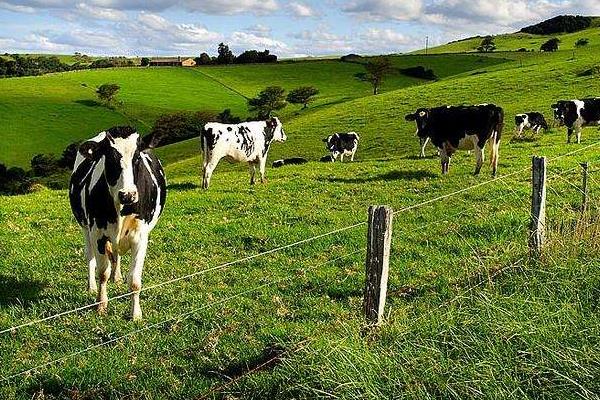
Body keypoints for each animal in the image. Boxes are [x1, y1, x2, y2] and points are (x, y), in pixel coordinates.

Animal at [68, 126, 166, 320]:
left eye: (137, 157)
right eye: (110, 158)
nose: (128, 195)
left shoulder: (140, 236)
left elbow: (134, 280)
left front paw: (135, 314)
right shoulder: (98, 234)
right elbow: (102, 272)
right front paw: (101, 305)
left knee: (117, 254)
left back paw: (117, 276)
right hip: (85, 228)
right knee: (90, 257)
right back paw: (91, 286)